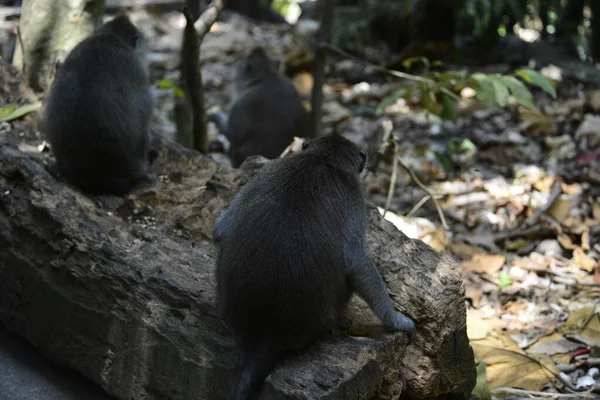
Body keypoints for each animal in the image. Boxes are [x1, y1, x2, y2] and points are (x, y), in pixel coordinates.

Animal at [214, 134, 418, 400]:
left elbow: (221, 228)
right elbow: (358, 263)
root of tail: (268, 333)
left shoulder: (264, 172)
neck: (322, 158)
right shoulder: (355, 200)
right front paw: (397, 322)